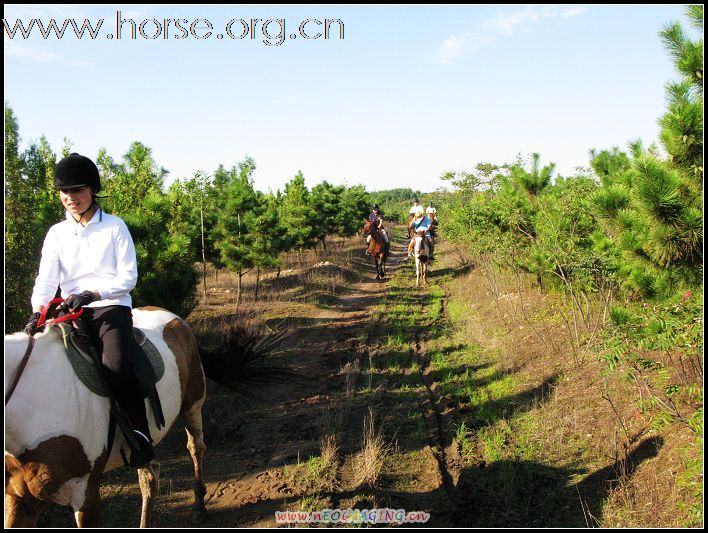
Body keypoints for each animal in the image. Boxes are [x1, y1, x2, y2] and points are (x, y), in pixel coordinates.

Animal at [4, 306, 280, 524]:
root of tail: (174, 318)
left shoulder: (86, 494)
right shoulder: (19, 498)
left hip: (192, 405)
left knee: (195, 448)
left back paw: (199, 507)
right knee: (149, 478)